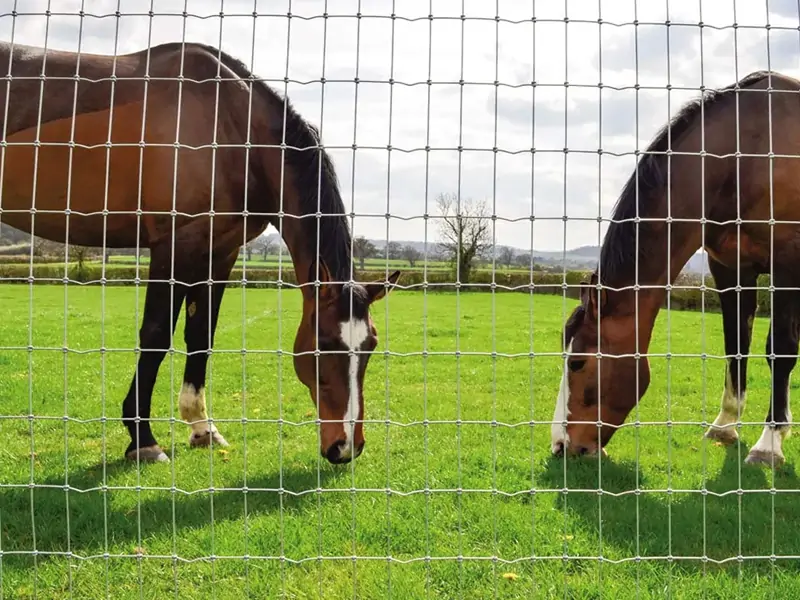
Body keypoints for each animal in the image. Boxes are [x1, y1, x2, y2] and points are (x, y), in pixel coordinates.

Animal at [0, 41, 400, 464]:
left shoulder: (220, 252)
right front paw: (143, 439)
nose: (346, 446)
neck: (231, 127)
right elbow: (157, 335)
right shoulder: (173, 246)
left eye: (371, 344)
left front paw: (202, 427)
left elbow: (201, 335)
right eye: (323, 343)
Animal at [552, 69, 800, 464]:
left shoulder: (787, 265)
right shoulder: (730, 269)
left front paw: (769, 444)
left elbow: (781, 350)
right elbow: (735, 345)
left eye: (577, 362)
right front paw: (725, 425)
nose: (561, 445)